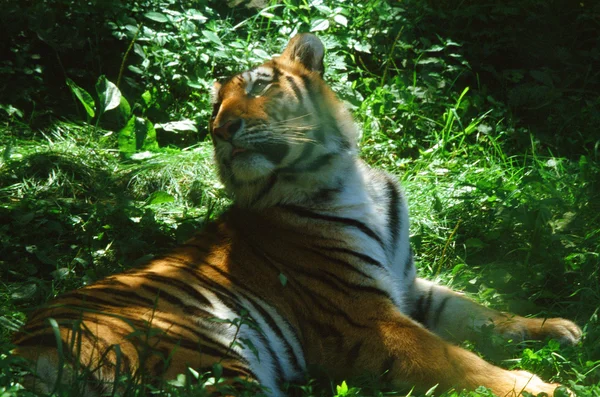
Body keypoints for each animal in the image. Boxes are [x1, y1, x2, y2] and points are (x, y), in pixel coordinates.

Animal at [12, 34, 580, 396]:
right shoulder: (361, 314)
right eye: (214, 107)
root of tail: (23, 354)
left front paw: (554, 328)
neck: (345, 177)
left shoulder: (404, 284)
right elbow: (453, 358)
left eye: (260, 86)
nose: (221, 130)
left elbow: (476, 311)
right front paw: (538, 386)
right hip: (203, 360)